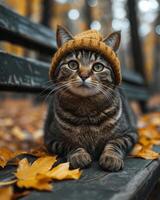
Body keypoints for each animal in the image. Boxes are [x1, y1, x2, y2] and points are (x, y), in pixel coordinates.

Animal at [43, 25, 138, 172]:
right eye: (72, 65)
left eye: (98, 67)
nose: (84, 75)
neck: (86, 109)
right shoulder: (51, 138)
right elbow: (69, 144)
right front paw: (79, 155)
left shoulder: (129, 133)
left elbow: (116, 143)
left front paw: (111, 157)